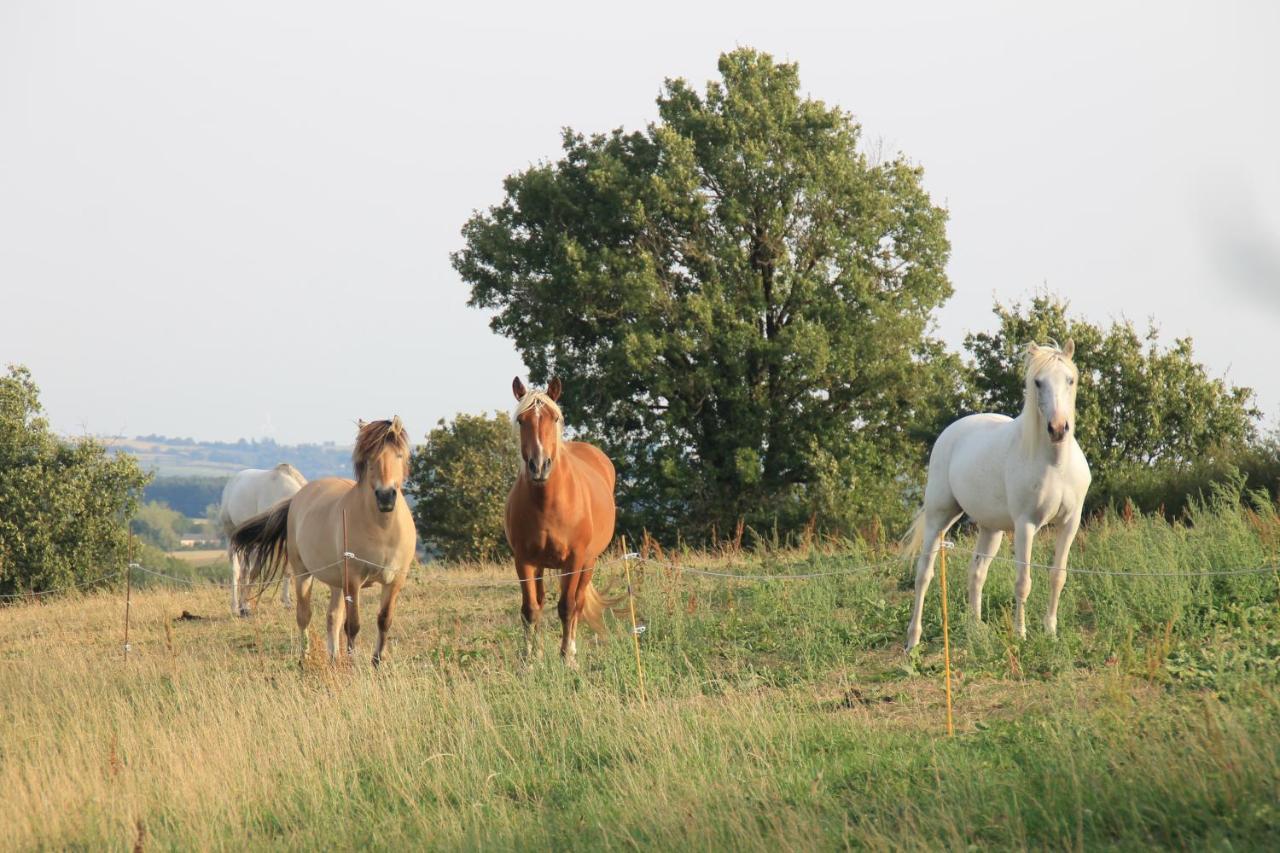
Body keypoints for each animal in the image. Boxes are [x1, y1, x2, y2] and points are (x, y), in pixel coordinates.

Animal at [227, 417, 412, 666]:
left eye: (399, 455)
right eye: (369, 459)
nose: (385, 496)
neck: (382, 529)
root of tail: (298, 496)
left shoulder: (394, 581)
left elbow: (383, 620)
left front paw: (377, 663)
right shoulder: (353, 579)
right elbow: (352, 625)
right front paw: (353, 664)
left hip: (336, 583)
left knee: (332, 617)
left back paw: (334, 657)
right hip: (303, 573)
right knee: (304, 615)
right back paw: (305, 657)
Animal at [504, 373, 614, 666]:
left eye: (553, 418)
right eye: (522, 420)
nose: (539, 465)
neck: (548, 504)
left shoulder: (574, 560)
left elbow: (567, 606)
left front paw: (567, 658)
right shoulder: (524, 561)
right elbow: (530, 609)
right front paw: (529, 660)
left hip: (588, 563)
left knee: (577, 602)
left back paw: (572, 650)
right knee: (541, 602)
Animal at [901, 338, 1090, 645]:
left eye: (1070, 380)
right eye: (1038, 382)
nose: (1058, 428)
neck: (1055, 464)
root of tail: (950, 433)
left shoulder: (1069, 524)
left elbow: (1057, 576)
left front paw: (1050, 632)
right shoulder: (1026, 525)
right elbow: (1023, 581)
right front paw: (1021, 634)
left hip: (991, 529)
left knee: (977, 571)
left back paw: (976, 631)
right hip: (939, 518)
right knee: (924, 573)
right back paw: (913, 640)